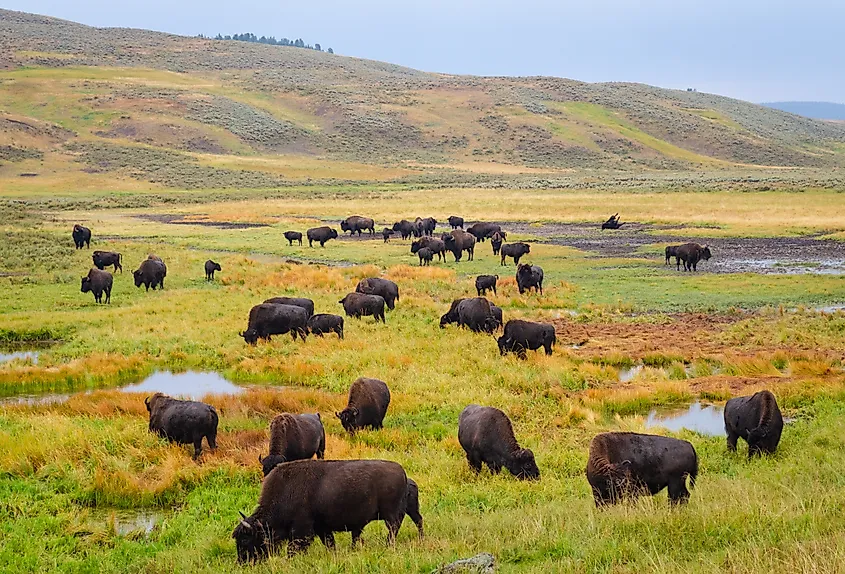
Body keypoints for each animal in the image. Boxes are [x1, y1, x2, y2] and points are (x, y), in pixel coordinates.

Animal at [233, 459, 422, 561]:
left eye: (245, 539)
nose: (243, 562)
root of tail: (402, 471)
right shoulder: (322, 529)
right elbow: (330, 543)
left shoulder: (302, 531)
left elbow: (294, 547)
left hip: (391, 515)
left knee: (394, 529)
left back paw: (388, 545)